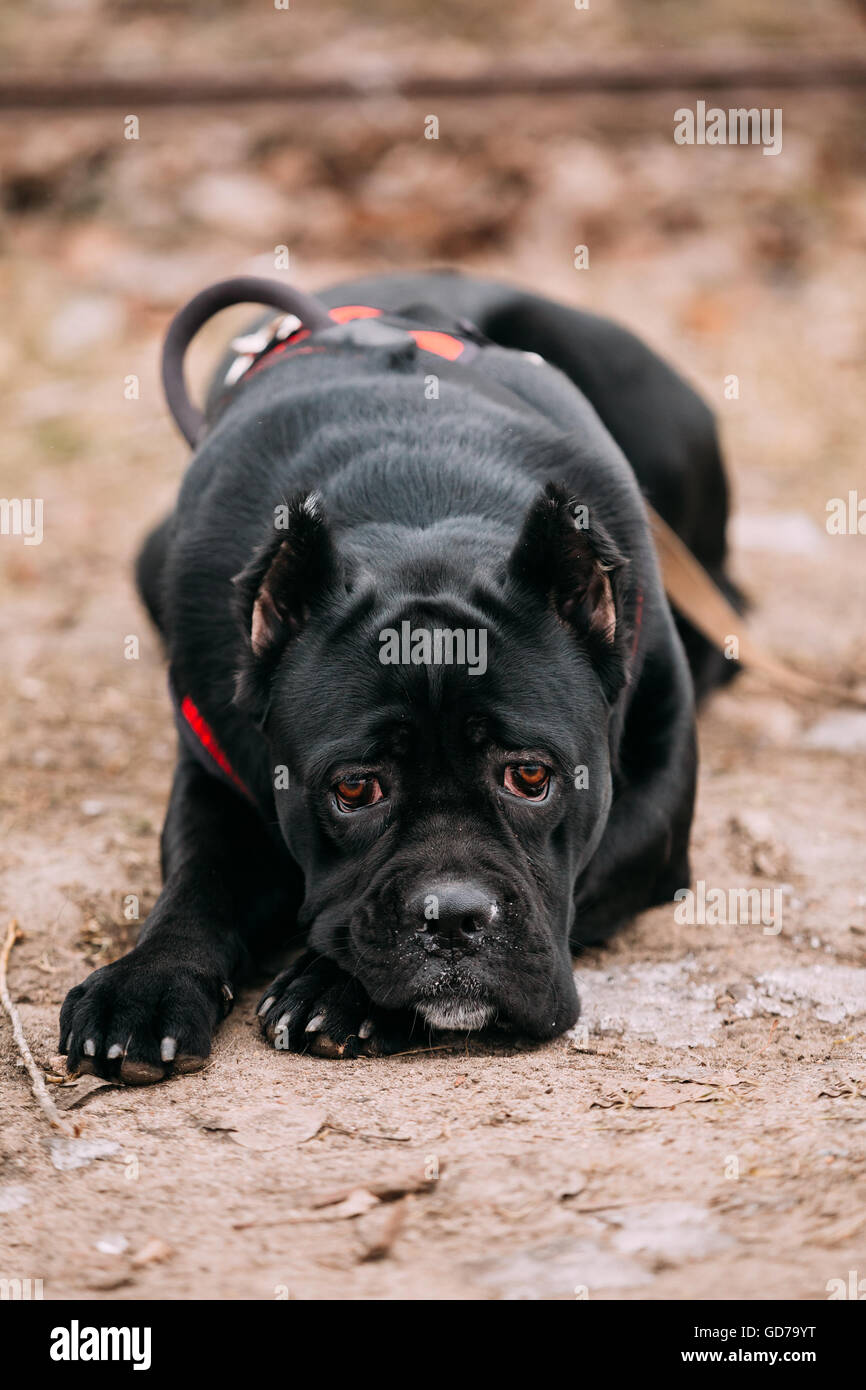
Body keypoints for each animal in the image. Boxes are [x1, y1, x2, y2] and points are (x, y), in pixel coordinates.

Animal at [61, 265, 739, 1078]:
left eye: (531, 776)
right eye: (354, 789)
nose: (453, 918)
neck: (420, 506)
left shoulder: (657, 805)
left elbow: (593, 864)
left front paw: (336, 989)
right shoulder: (213, 768)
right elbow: (198, 877)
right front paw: (146, 982)